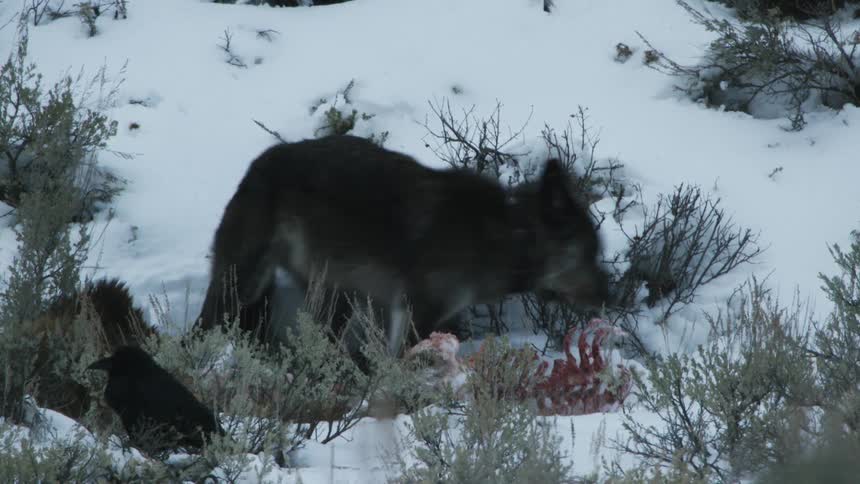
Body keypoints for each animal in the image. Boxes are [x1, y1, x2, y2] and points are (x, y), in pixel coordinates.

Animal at [195, 134, 609, 356]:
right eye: (589, 254)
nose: (611, 295)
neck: (501, 236)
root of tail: (258, 163)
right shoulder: (413, 315)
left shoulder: (436, 318)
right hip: (242, 287)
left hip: (334, 299)